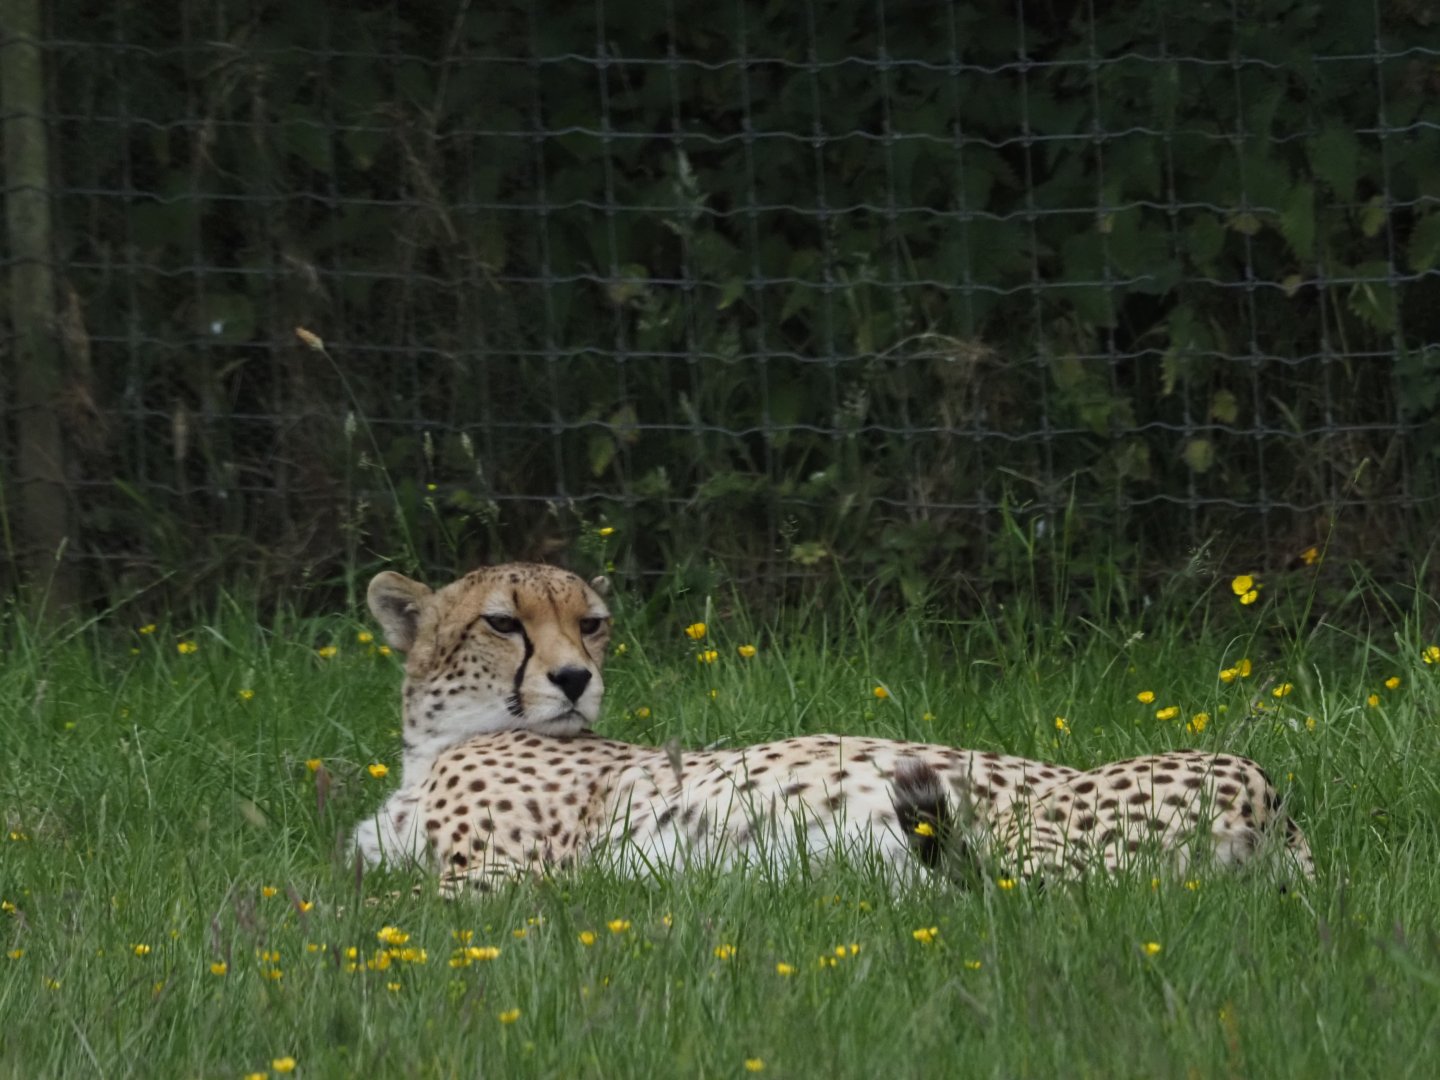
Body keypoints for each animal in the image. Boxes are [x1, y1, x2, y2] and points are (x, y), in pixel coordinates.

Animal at [350, 564, 1313, 893]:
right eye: (503, 623)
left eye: (590, 623)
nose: (575, 679)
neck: (437, 745)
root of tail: (1272, 804)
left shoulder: (510, 880)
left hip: (1040, 852)